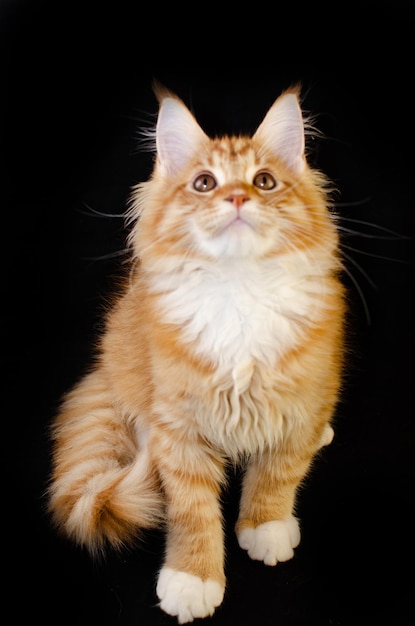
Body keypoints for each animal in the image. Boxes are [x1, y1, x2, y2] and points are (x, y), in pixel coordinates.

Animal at [48, 81, 348, 620]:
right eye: (205, 183)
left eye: (264, 181)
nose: (237, 196)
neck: (240, 287)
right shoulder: (178, 425)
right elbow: (193, 512)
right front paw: (193, 579)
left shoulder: (305, 392)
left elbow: (279, 474)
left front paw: (266, 527)